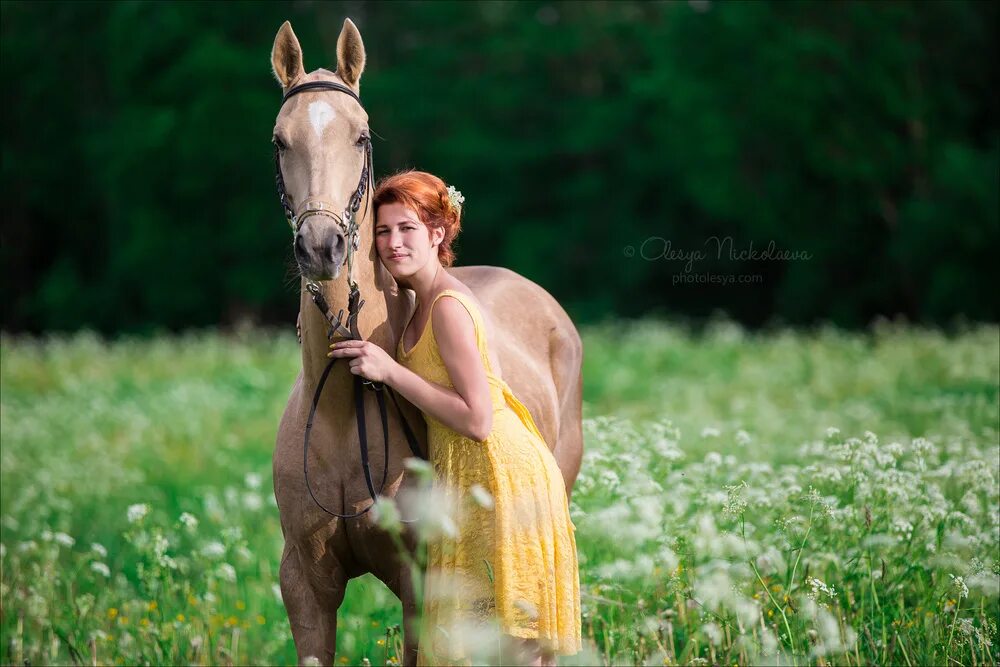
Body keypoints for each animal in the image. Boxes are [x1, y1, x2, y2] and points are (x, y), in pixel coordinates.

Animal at [272, 18, 584, 664]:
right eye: (280, 141)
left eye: (361, 137)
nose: (321, 247)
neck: (341, 409)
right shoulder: (305, 587)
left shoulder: (420, 583)